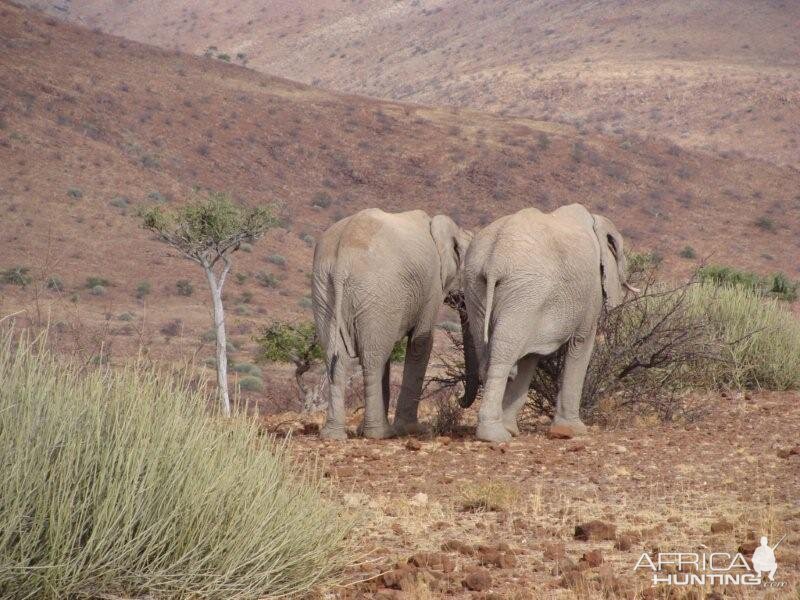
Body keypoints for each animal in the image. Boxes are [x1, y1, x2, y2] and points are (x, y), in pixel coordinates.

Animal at [312, 209, 476, 438]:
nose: (458, 399)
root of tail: (342, 258)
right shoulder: (431, 285)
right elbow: (421, 344)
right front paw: (413, 430)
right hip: (375, 288)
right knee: (372, 359)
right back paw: (379, 434)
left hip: (326, 290)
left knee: (337, 358)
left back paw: (333, 435)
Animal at [462, 204, 636, 442]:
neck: (593, 221)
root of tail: (495, 259)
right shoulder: (590, 292)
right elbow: (580, 344)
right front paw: (572, 431)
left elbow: (530, 357)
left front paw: (512, 428)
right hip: (525, 290)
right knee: (502, 356)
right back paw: (493, 436)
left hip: (477, 287)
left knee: (487, 353)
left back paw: (499, 431)